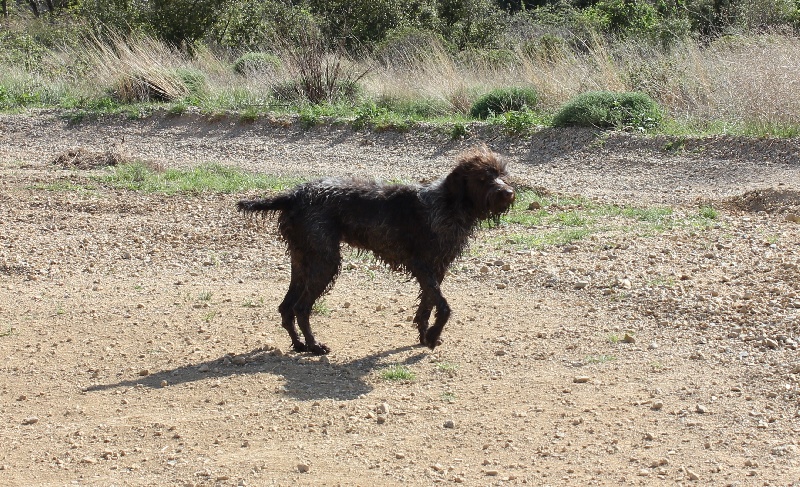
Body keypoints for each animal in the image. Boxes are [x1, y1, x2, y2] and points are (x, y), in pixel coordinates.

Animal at [236, 145, 512, 354]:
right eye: (482, 178)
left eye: (501, 173)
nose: (509, 193)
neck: (448, 204)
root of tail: (294, 195)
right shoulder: (422, 266)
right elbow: (443, 307)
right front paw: (433, 335)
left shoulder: (437, 269)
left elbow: (426, 306)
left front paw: (425, 335)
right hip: (324, 262)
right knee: (301, 308)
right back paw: (314, 346)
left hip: (303, 260)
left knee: (286, 307)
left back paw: (299, 344)